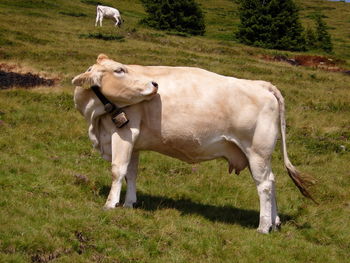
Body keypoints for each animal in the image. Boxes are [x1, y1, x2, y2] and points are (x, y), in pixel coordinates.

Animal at [72, 54, 316, 235]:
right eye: (119, 70)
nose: (154, 84)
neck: (95, 120)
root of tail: (261, 84)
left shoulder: (124, 133)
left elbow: (117, 170)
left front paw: (110, 204)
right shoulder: (135, 142)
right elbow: (131, 173)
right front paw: (129, 203)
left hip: (257, 150)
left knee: (264, 185)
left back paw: (263, 227)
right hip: (262, 155)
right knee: (272, 181)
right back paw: (275, 222)